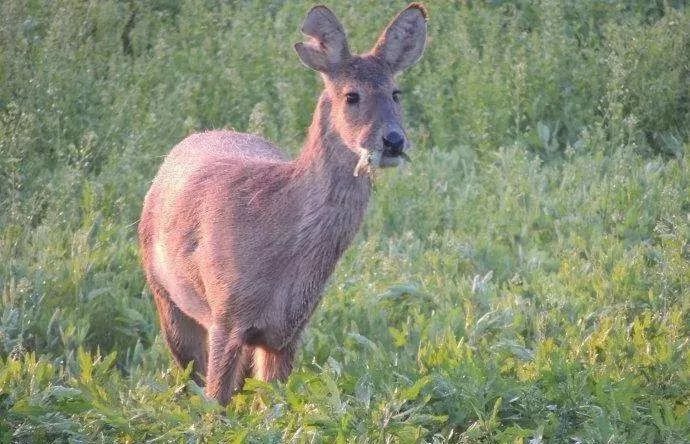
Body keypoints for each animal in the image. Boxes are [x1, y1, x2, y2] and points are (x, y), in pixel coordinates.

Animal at [138, 2, 428, 406]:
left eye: (397, 93)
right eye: (351, 95)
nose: (393, 141)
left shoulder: (288, 331)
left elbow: (272, 406)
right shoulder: (226, 315)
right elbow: (215, 405)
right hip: (164, 293)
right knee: (187, 378)